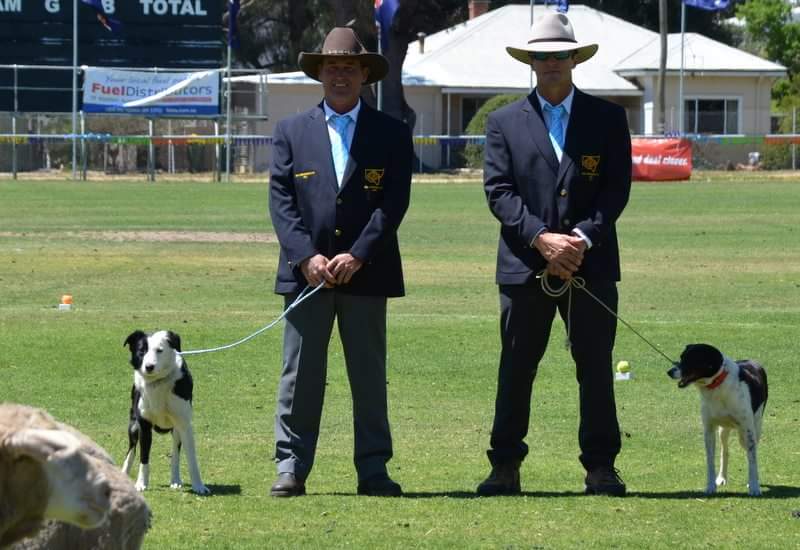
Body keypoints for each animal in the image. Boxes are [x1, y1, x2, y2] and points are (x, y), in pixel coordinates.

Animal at [668, 344, 768, 496]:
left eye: (691, 359)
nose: (669, 372)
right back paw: (721, 477)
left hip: (751, 431)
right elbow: (710, 461)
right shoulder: (709, 429)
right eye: (681, 357)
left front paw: (754, 487)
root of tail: (752, 361)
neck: (717, 385)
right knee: (725, 452)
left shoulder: (748, 430)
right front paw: (710, 486)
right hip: (724, 430)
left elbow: (752, 460)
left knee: (749, 452)